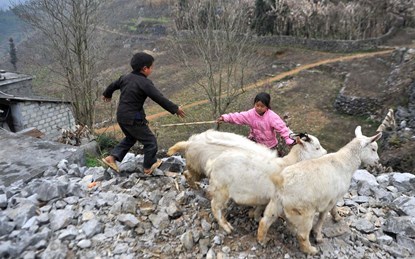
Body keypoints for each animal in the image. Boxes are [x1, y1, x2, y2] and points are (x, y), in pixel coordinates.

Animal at [260, 126, 384, 256]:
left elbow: (333, 209)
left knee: (265, 220)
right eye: (373, 149)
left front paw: (337, 217)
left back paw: (262, 240)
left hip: (275, 202)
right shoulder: (329, 200)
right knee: (302, 235)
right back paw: (311, 250)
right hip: (304, 212)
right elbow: (323, 217)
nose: (377, 161)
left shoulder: (333, 197)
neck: (345, 162)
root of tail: (282, 184)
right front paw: (318, 235)